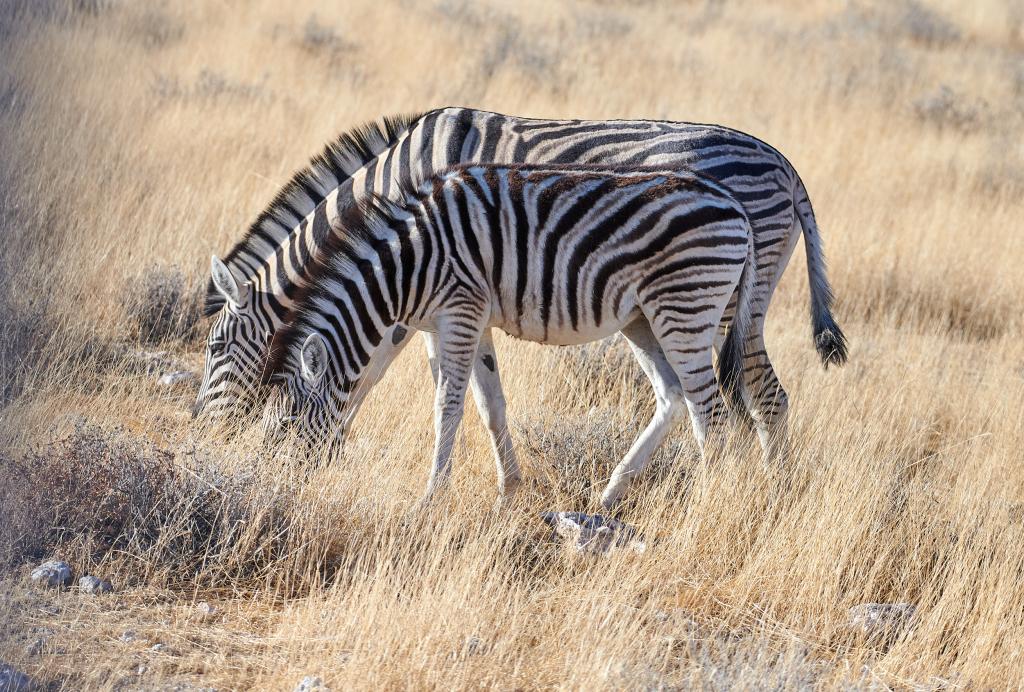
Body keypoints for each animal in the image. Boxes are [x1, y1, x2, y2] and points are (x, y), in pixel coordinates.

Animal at [193, 106, 847, 464]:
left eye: (216, 347)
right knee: (751, 395)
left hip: (735, 296)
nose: (202, 433)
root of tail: (786, 166)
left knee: (763, 396)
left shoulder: (424, 280)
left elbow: (386, 371)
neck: (399, 176)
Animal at [260, 163, 761, 507]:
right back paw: (611, 492)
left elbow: (447, 406)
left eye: (283, 427)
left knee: (710, 415)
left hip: (684, 309)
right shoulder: (465, 323)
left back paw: (710, 505)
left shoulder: (460, 310)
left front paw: (431, 498)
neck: (408, 266)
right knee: (673, 395)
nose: (277, 492)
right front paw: (510, 491)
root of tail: (736, 205)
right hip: (642, 319)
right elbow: (490, 405)